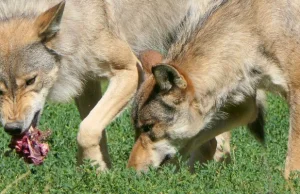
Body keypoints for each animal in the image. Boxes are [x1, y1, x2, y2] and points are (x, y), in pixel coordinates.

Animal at [0, 0, 226, 170]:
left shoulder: (130, 70)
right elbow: (95, 132)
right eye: (0, 89)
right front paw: (96, 174)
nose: (12, 128)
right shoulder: (87, 82)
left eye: (31, 81)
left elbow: (86, 130)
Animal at [126, 0, 298, 179]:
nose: (129, 172)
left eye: (148, 128)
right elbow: (198, 142)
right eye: (136, 129)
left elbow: (292, 163)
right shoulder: (246, 108)